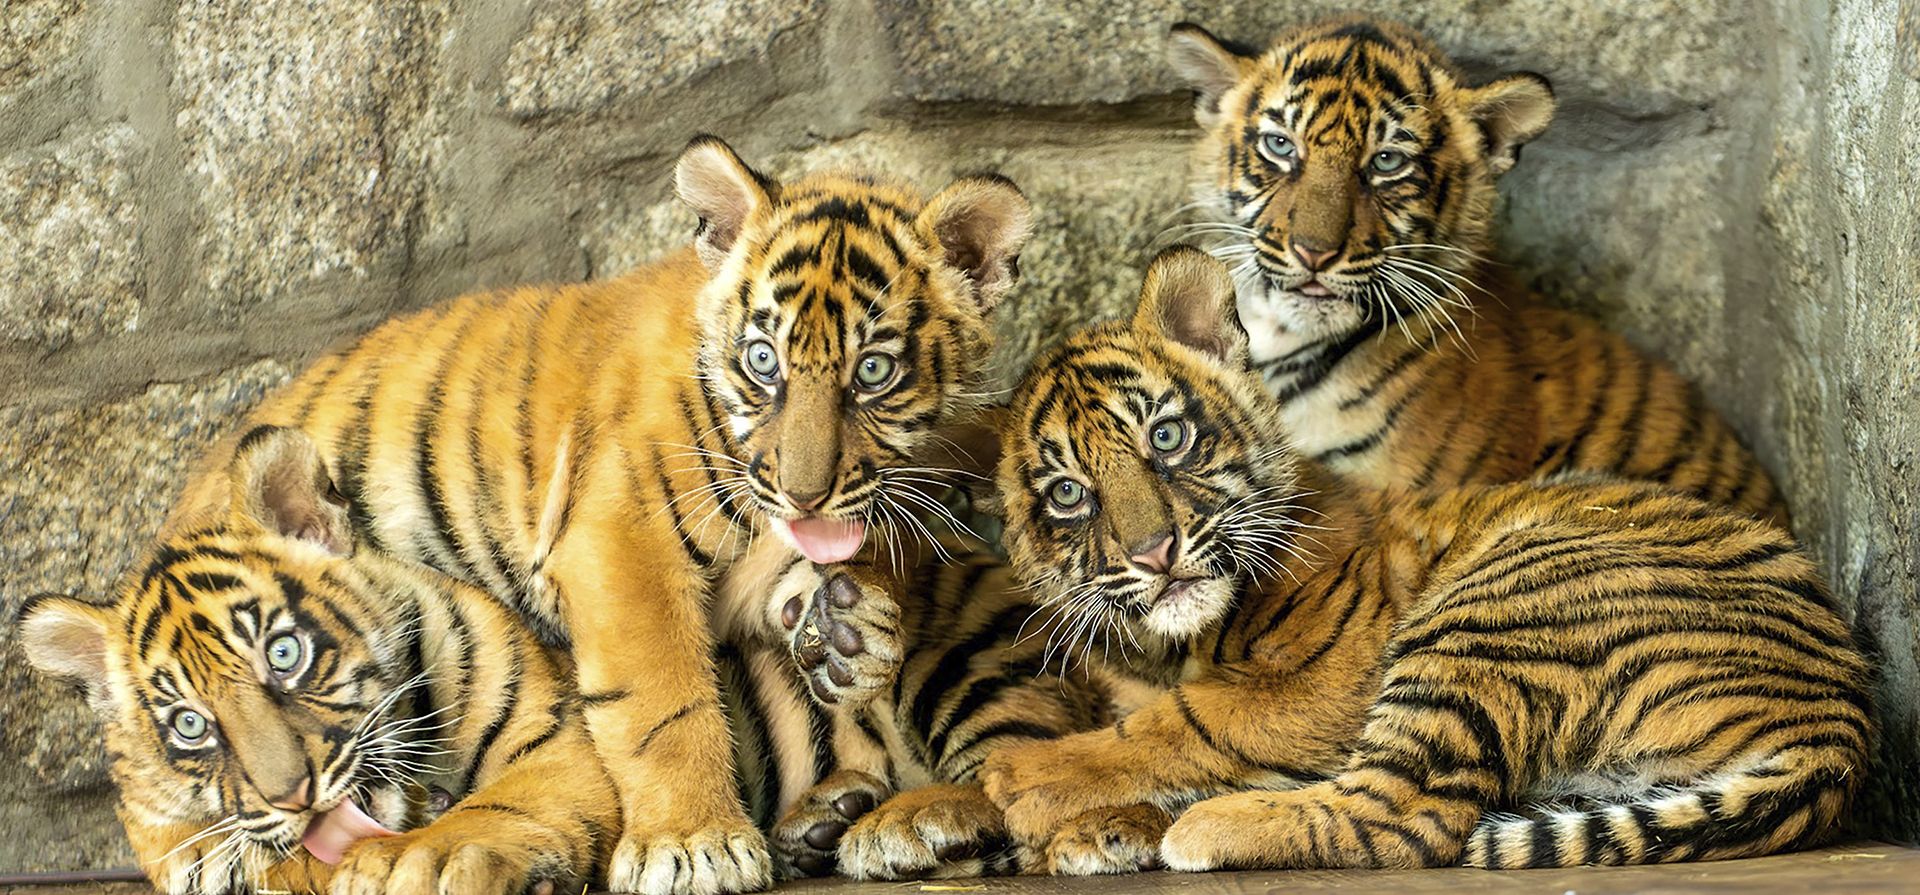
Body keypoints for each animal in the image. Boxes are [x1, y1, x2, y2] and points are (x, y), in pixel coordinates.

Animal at [18, 426, 621, 895]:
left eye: (284, 653)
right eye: (190, 724)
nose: (293, 799)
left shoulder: (556, 740)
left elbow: (498, 807)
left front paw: (422, 860)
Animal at [155, 135, 1033, 894]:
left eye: (874, 372)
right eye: (763, 363)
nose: (805, 490)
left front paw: (857, 629)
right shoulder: (623, 540)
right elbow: (662, 701)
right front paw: (695, 845)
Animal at [976, 245, 1872, 872]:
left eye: (1166, 437)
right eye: (1068, 493)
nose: (1154, 551)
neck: (1164, 645)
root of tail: (1842, 724)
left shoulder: (1328, 675)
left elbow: (1187, 719)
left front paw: (1023, 778)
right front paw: (1097, 830)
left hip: (1500, 601)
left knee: (1407, 816)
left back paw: (1202, 827)